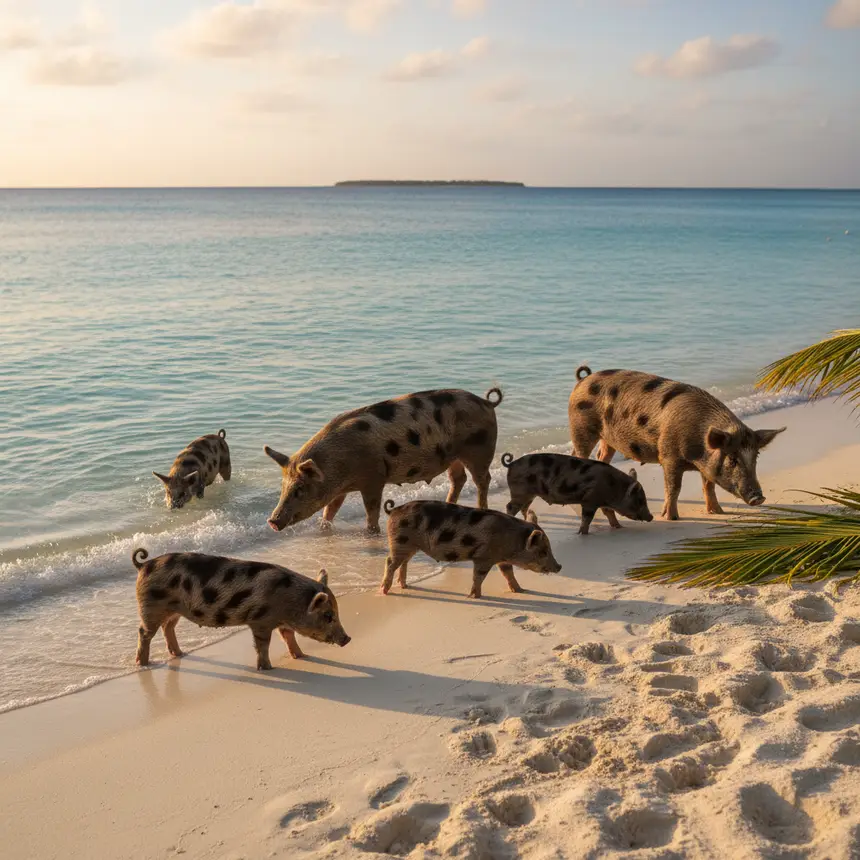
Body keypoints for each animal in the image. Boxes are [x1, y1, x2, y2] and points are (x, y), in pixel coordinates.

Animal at [132, 548, 350, 671]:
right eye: (328, 616)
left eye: (337, 613)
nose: (348, 639)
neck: (290, 601)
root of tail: (144, 564)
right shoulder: (260, 621)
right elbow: (263, 644)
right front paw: (267, 668)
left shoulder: (281, 622)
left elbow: (289, 636)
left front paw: (302, 656)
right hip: (150, 607)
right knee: (144, 632)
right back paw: (143, 664)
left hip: (174, 610)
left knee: (168, 627)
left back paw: (179, 654)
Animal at [264, 388, 504, 534]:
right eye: (283, 487)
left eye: (299, 489)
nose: (272, 521)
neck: (338, 464)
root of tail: (486, 403)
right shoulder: (339, 489)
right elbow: (329, 510)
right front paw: (324, 529)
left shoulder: (373, 479)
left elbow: (371, 510)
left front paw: (372, 533)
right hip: (454, 457)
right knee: (458, 478)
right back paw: (449, 505)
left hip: (480, 449)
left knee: (483, 479)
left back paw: (482, 508)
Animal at [380, 499, 562, 598]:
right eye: (543, 551)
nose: (559, 566)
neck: (512, 540)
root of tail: (393, 510)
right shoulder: (484, 557)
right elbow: (479, 576)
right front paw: (475, 597)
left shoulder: (500, 559)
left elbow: (508, 573)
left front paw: (521, 590)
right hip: (400, 541)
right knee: (390, 562)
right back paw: (384, 591)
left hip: (409, 545)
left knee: (403, 562)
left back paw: (404, 586)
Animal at [501, 452, 653, 535]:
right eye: (640, 500)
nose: (651, 517)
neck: (614, 487)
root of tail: (511, 464)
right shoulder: (590, 501)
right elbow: (587, 518)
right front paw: (582, 533)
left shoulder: (602, 502)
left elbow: (609, 513)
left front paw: (619, 527)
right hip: (519, 492)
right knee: (510, 506)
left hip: (529, 494)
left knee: (524, 508)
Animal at [568, 366, 786, 521]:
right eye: (732, 459)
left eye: (756, 457)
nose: (759, 497)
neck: (698, 450)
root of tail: (582, 380)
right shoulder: (668, 455)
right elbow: (673, 487)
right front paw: (670, 517)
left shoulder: (706, 465)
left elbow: (708, 486)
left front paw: (718, 512)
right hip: (581, 428)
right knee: (579, 455)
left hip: (608, 439)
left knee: (601, 456)